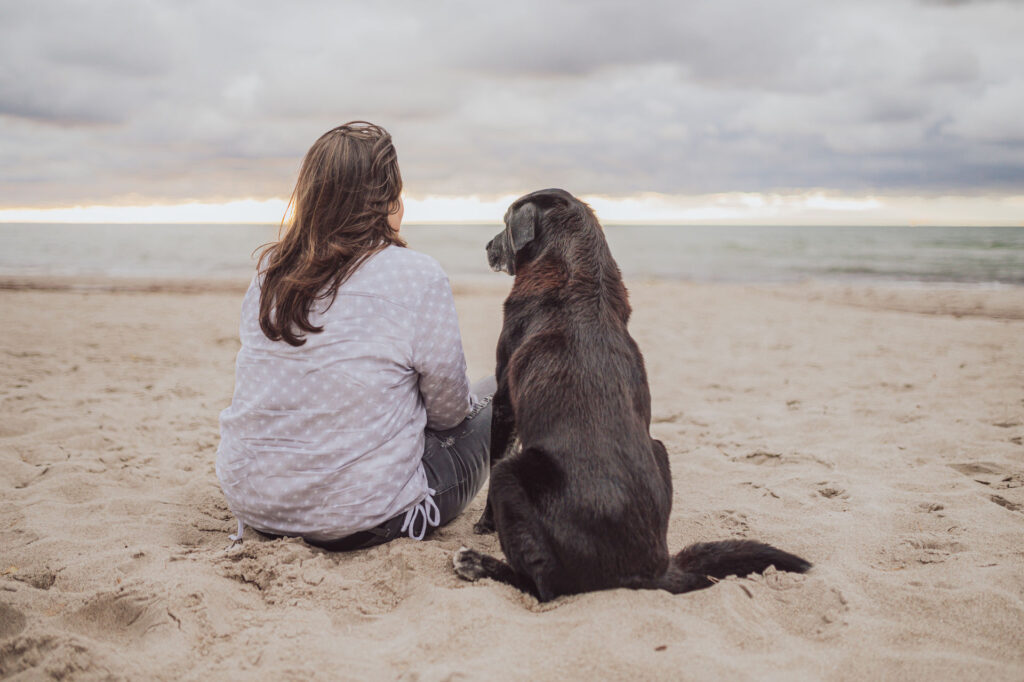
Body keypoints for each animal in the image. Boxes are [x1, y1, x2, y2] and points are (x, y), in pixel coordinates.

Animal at [452, 187, 811, 602]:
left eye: (505, 224)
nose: (487, 247)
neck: (577, 278)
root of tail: (652, 568)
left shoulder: (505, 403)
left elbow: (495, 459)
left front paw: (484, 525)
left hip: (513, 477)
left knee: (545, 585)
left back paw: (478, 564)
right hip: (659, 448)